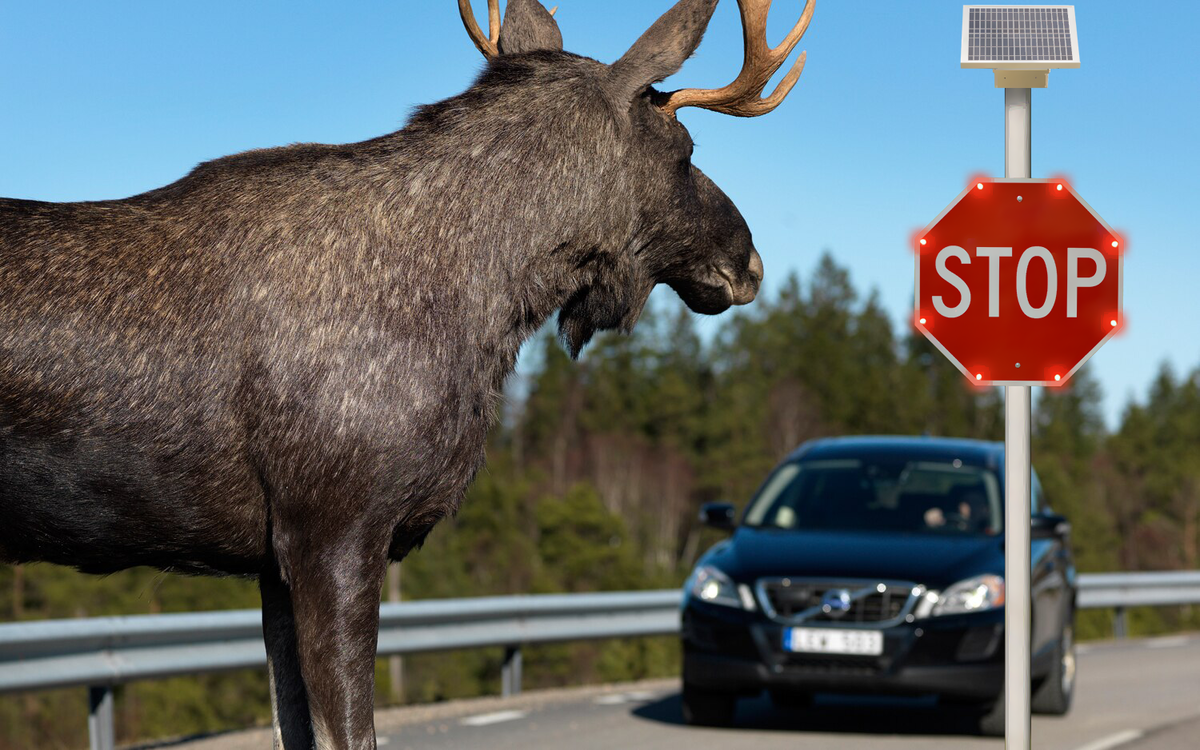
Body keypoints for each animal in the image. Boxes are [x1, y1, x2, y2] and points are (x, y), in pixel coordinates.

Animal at [0, 0, 813, 747]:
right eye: (685, 148)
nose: (749, 262)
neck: (482, 308)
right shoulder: (335, 529)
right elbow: (350, 733)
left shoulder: (273, 559)